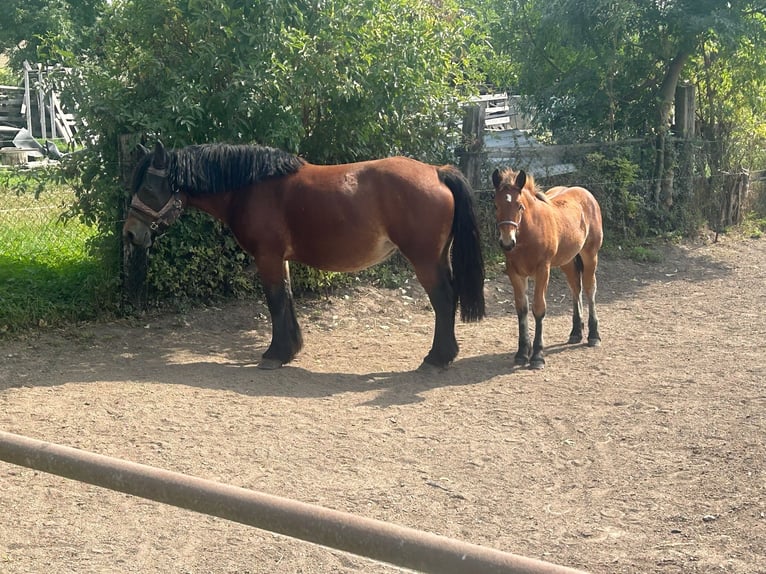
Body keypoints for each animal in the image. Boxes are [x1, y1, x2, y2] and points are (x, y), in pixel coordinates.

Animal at [124, 142, 486, 372]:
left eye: (149, 189)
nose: (130, 234)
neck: (251, 188)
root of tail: (437, 171)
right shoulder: (279, 258)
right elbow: (286, 298)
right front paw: (289, 349)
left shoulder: (267, 257)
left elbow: (274, 301)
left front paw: (275, 354)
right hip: (438, 258)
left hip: (424, 260)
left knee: (443, 299)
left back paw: (436, 358)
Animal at [492, 169, 608, 372]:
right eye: (496, 205)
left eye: (520, 206)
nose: (507, 242)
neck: (528, 234)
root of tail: (587, 194)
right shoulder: (515, 273)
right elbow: (522, 309)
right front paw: (522, 353)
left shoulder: (542, 270)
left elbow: (539, 309)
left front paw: (537, 356)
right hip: (567, 261)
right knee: (575, 288)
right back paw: (576, 332)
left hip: (590, 255)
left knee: (589, 288)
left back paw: (593, 335)